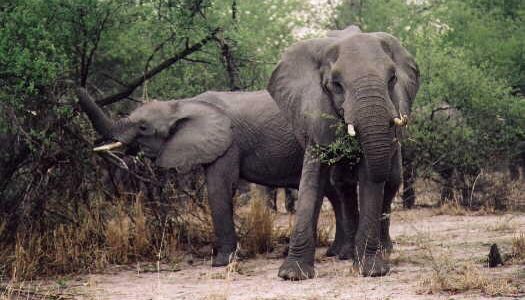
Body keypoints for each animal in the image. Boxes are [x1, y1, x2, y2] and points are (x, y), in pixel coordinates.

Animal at [75, 88, 350, 266]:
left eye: (143, 128)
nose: (74, 84)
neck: (181, 104)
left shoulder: (227, 142)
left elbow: (219, 188)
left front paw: (221, 262)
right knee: (333, 192)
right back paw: (335, 252)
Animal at [268, 25, 420, 278]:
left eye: (392, 78)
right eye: (336, 84)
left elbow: (371, 180)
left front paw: (372, 270)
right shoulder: (314, 110)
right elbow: (312, 181)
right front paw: (292, 275)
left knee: (391, 181)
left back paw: (382, 250)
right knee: (343, 184)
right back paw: (346, 253)